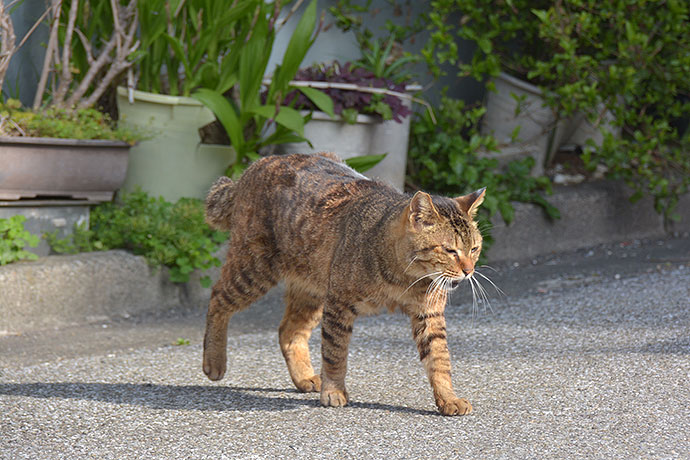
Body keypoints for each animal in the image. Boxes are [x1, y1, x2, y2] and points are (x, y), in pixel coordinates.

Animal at [202, 153, 486, 416]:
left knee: (289, 331)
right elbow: (335, 353)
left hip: (312, 288)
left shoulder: (429, 314)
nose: (469, 271)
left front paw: (448, 398)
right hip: (255, 269)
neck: (403, 278)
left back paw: (304, 376)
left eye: (474, 248)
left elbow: (439, 359)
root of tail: (255, 165)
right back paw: (214, 361)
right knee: (217, 298)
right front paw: (334, 391)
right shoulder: (339, 304)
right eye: (450, 250)